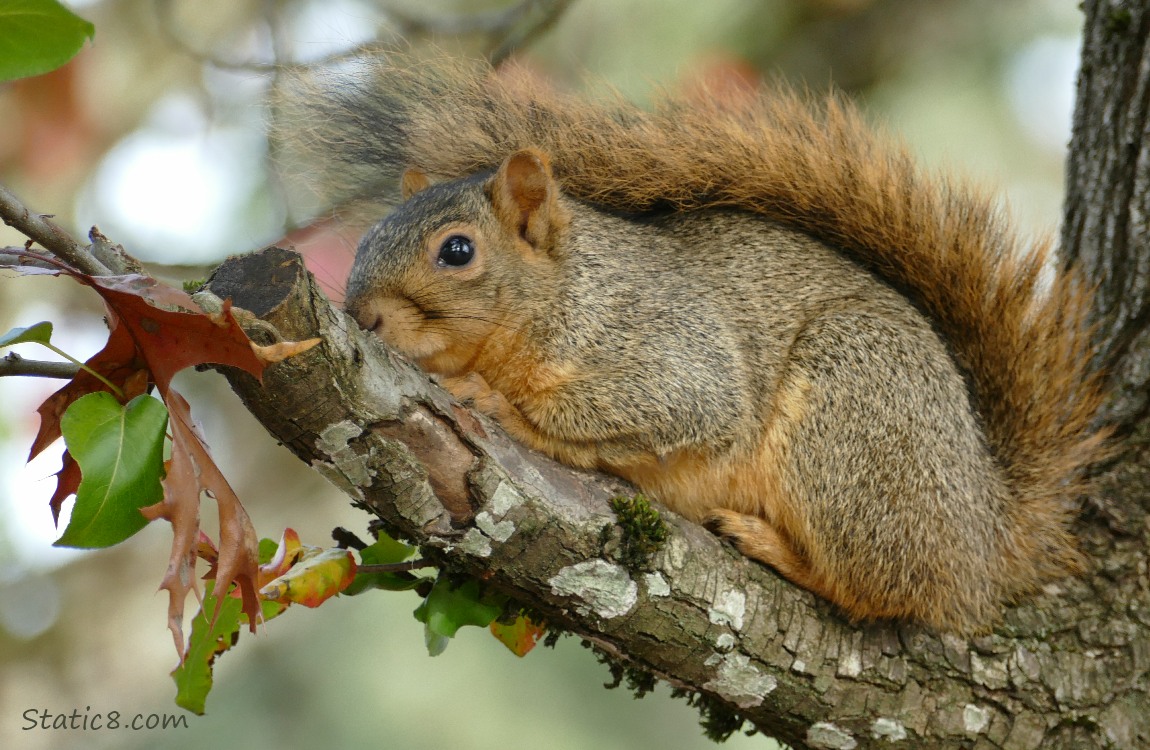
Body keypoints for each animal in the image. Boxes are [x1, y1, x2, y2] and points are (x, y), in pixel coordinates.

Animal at [280, 53, 1110, 634]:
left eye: (456, 251)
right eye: (366, 242)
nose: (362, 314)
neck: (567, 293)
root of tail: (987, 532)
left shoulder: (673, 351)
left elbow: (656, 410)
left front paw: (496, 401)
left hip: (852, 416)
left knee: (884, 590)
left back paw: (774, 546)